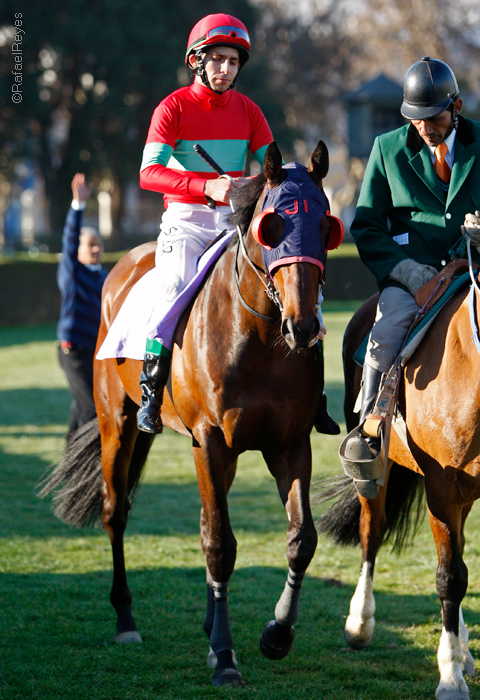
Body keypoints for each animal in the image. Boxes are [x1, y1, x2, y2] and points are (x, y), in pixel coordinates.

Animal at [40, 140, 340, 688]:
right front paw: (224, 657)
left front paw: (276, 633)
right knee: (117, 510)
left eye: (326, 223)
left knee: (203, 519)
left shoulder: (289, 443)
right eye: (273, 224)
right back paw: (126, 619)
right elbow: (221, 543)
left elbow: (301, 538)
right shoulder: (210, 438)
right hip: (118, 422)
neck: (260, 336)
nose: (304, 325)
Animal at [317, 280, 480, 700]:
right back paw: (360, 622)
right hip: (377, 476)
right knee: (372, 532)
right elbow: (449, 577)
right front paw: (449, 677)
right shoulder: (442, 490)